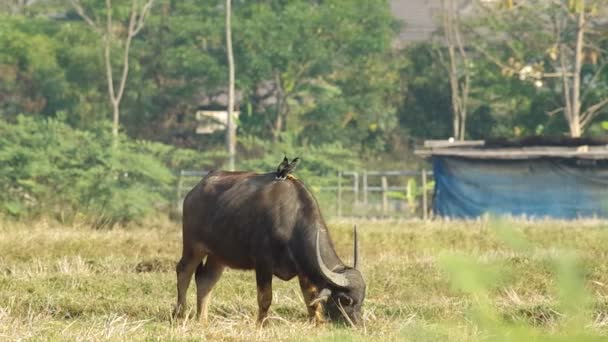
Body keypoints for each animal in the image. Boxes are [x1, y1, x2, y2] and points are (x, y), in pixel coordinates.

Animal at [176, 170, 366, 326]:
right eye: (345, 299)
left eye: (362, 297)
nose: (356, 324)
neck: (292, 221)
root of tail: (194, 191)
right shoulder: (263, 264)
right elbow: (265, 297)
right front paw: (262, 324)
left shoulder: (303, 269)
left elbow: (310, 298)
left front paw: (317, 323)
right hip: (193, 246)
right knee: (183, 272)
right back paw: (179, 314)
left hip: (218, 255)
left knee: (206, 280)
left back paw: (202, 319)